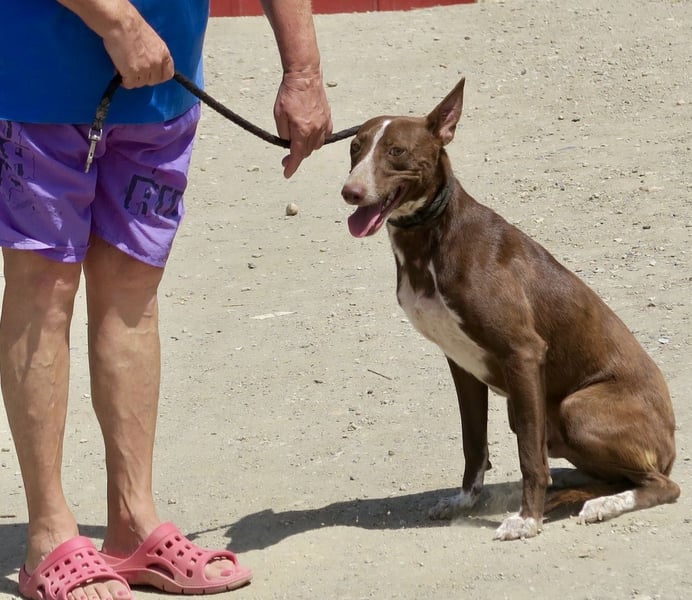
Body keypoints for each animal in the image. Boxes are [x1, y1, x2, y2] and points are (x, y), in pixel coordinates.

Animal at [340, 77, 679, 540]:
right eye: (355, 148)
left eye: (396, 151)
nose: (350, 192)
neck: (431, 237)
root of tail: (671, 444)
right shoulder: (461, 364)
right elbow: (473, 443)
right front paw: (465, 500)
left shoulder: (522, 354)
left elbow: (528, 458)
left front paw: (527, 519)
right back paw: (578, 490)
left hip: (577, 408)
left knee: (663, 484)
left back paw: (602, 503)